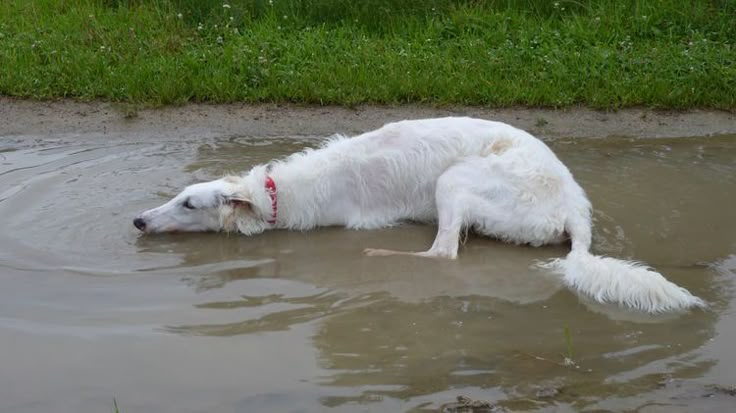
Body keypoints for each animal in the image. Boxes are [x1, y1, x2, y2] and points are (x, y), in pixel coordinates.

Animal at [135, 116, 704, 312]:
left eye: (188, 204)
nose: (137, 221)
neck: (279, 192)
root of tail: (573, 209)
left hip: (453, 182)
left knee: (444, 254)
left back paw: (383, 254)